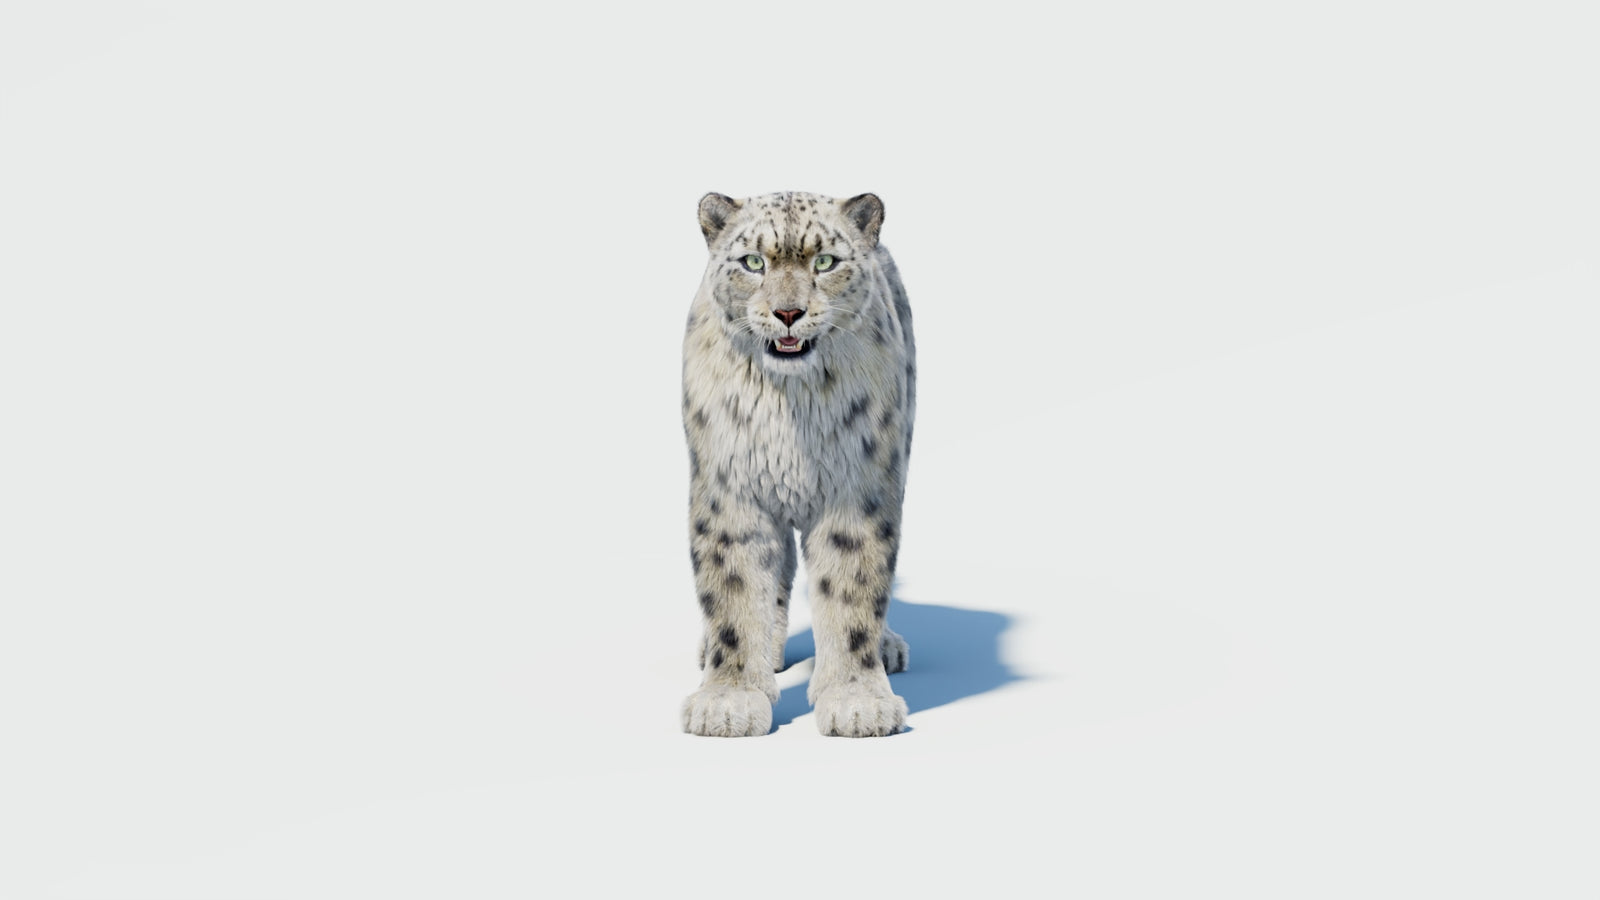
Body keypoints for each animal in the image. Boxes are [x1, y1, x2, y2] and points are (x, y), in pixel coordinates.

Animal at [680, 191, 915, 737]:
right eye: (753, 262)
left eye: (824, 262)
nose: (788, 312)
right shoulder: (731, 491)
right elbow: (735, 591)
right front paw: (729, 700)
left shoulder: (858, 489)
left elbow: (853, 590)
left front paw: (857, 702)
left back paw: (887, 647)